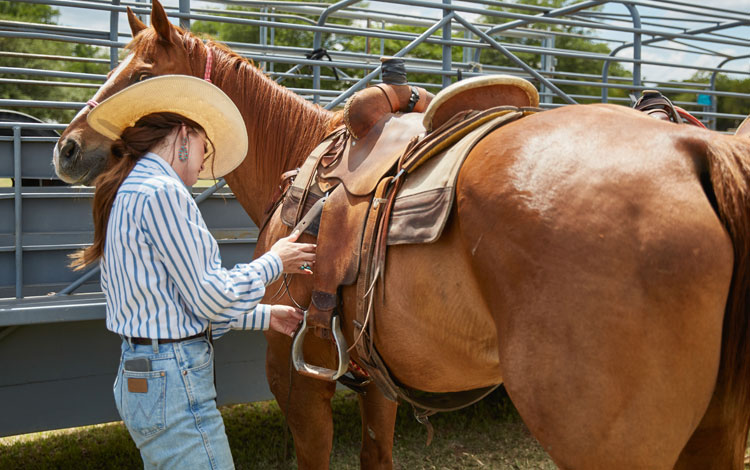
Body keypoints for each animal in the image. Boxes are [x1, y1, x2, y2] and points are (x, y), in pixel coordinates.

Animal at [54, 1, 750, 468]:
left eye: (141, 72)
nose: (67, 148)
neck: (304, 156)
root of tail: (697, 147)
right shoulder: (375, 383)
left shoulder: (297, 382)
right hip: (712, 432)